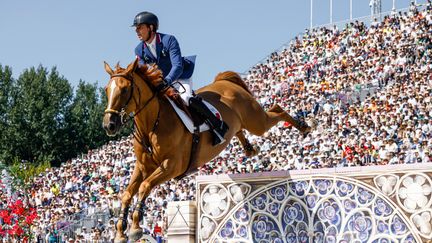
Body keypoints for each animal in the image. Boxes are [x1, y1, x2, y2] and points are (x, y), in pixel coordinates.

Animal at [102, 58, 310, 242]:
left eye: (125, 89)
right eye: (106, 90)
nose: (109, 125)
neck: (152, 124)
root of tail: (225, 81)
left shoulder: (172, 166)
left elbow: (144, 186)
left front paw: (135, 228)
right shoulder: (142, 167)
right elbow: (127, 194)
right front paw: (120, 233)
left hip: (256, 122)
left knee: (276, 110)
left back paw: (304, 127)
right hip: (245, 123)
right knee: (240, 128)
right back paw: (248, 148)